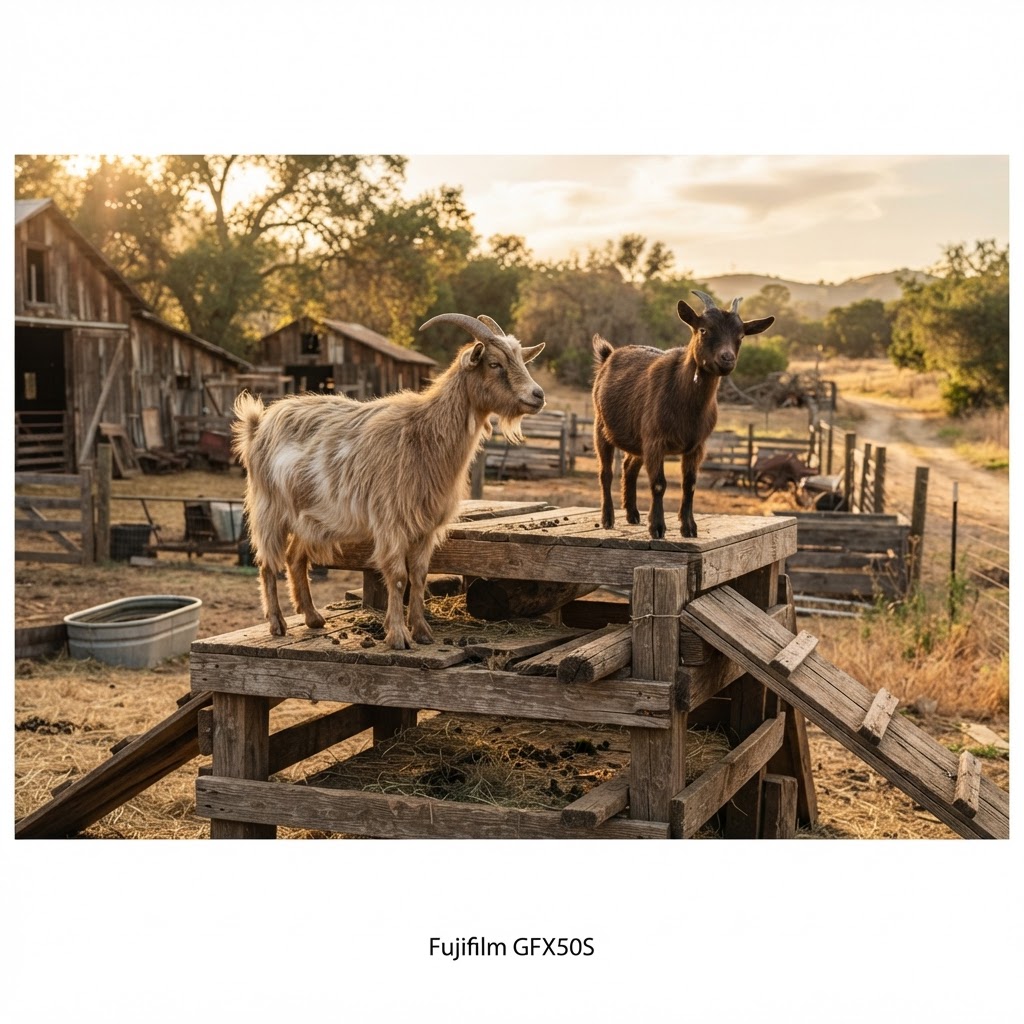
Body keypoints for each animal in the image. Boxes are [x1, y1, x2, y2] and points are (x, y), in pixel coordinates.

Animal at [231, 314, 545, 648]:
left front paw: (422, 632)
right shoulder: (391, 520)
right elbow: (397, 576)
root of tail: (258, 424)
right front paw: (397, 636)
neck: (423, 433)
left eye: (521, 361)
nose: (538, 395)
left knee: (294, 558)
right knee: (267, 562)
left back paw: (313, 617)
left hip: (309, 516)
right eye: (495, 363)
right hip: (269, 507)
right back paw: (277, 623)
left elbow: (419, 576)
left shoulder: (426, 526)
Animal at [591, 290, 774, 539]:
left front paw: (689, 528)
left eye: (741, 335)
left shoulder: (696, 446)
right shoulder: (655, 441)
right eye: (703, 330)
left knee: (629, 468)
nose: (727, 359)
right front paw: (657, 527)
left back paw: (632, 514)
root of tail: (608, 355)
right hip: (601, 427)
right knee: (606, 473)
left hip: (638, 440)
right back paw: (608, 518)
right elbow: (659, 483)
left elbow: (690, 484)